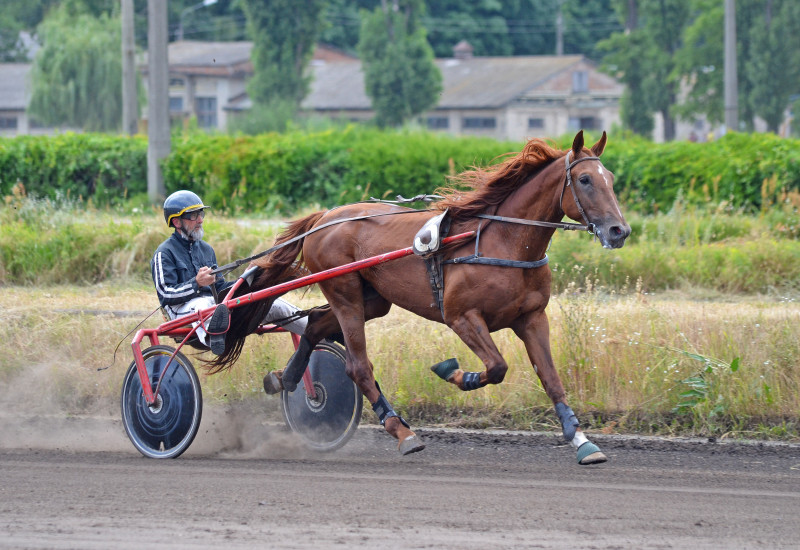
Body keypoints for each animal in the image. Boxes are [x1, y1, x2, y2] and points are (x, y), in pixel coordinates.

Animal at [212, 132, 632, 468]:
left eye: (610, 179)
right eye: (584, 179)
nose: (619, 230)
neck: (501, 242)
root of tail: (323, 219)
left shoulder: (531, 317)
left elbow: (551, 378)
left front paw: (583, 441)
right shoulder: (462, 316)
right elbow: (496, 367)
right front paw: (453, 372)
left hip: (373, 300)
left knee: (315, 325)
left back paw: (287, 378)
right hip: (344, 292)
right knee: (358, 366)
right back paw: (401, 431)